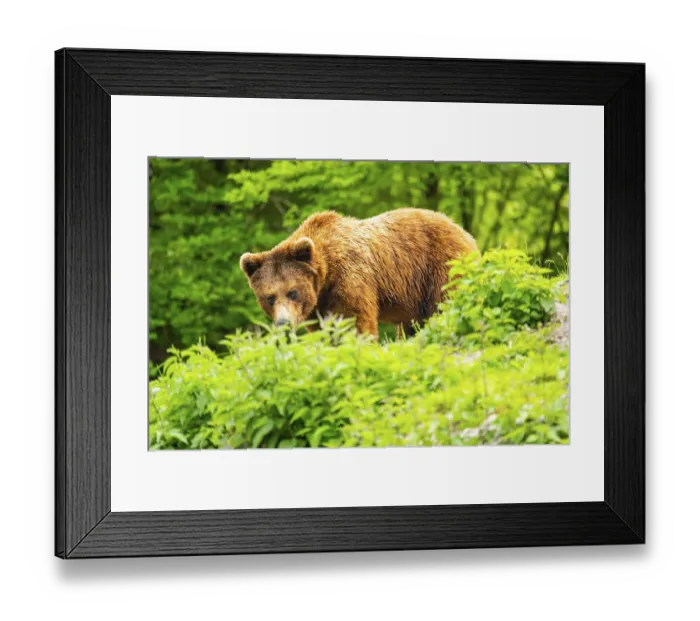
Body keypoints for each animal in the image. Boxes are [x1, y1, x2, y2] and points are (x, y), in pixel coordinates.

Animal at [239, 208, 479, 339]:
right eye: (269, 297)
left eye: (292, 292)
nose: (284, 323)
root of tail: (464, 231)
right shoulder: (318, 305)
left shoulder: (350, 278)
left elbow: (355, 323)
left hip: (440, 266)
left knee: (446, 302)